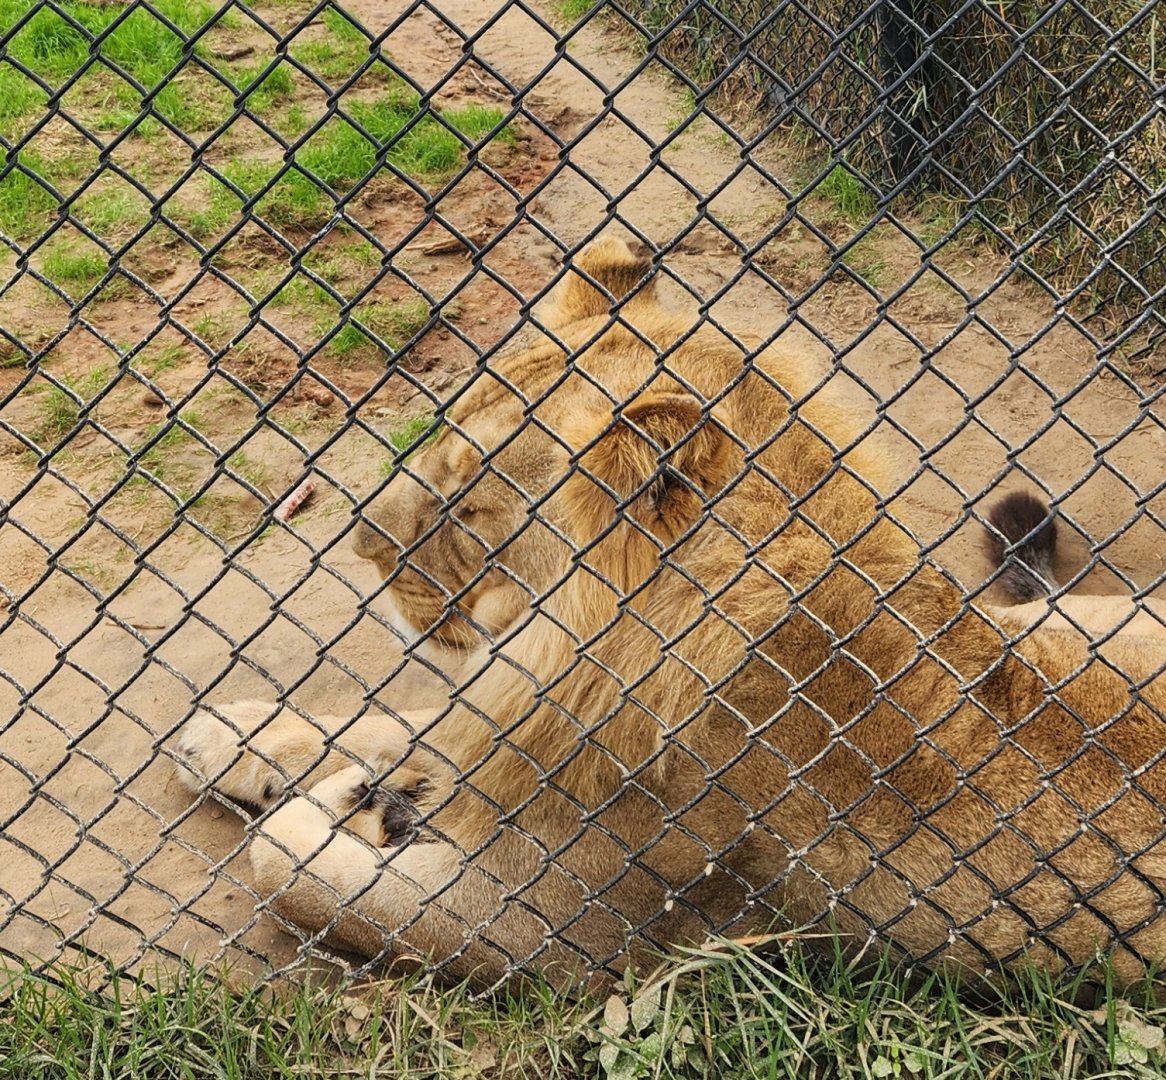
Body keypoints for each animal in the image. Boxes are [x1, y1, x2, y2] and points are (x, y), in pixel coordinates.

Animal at [176, 237, 1166, 990]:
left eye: (466, 503)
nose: (356, 543)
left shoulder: (538, 925)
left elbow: (296, 876)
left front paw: (346, 803)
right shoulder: (519, 726)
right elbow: (394, 721)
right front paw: (237, 735)